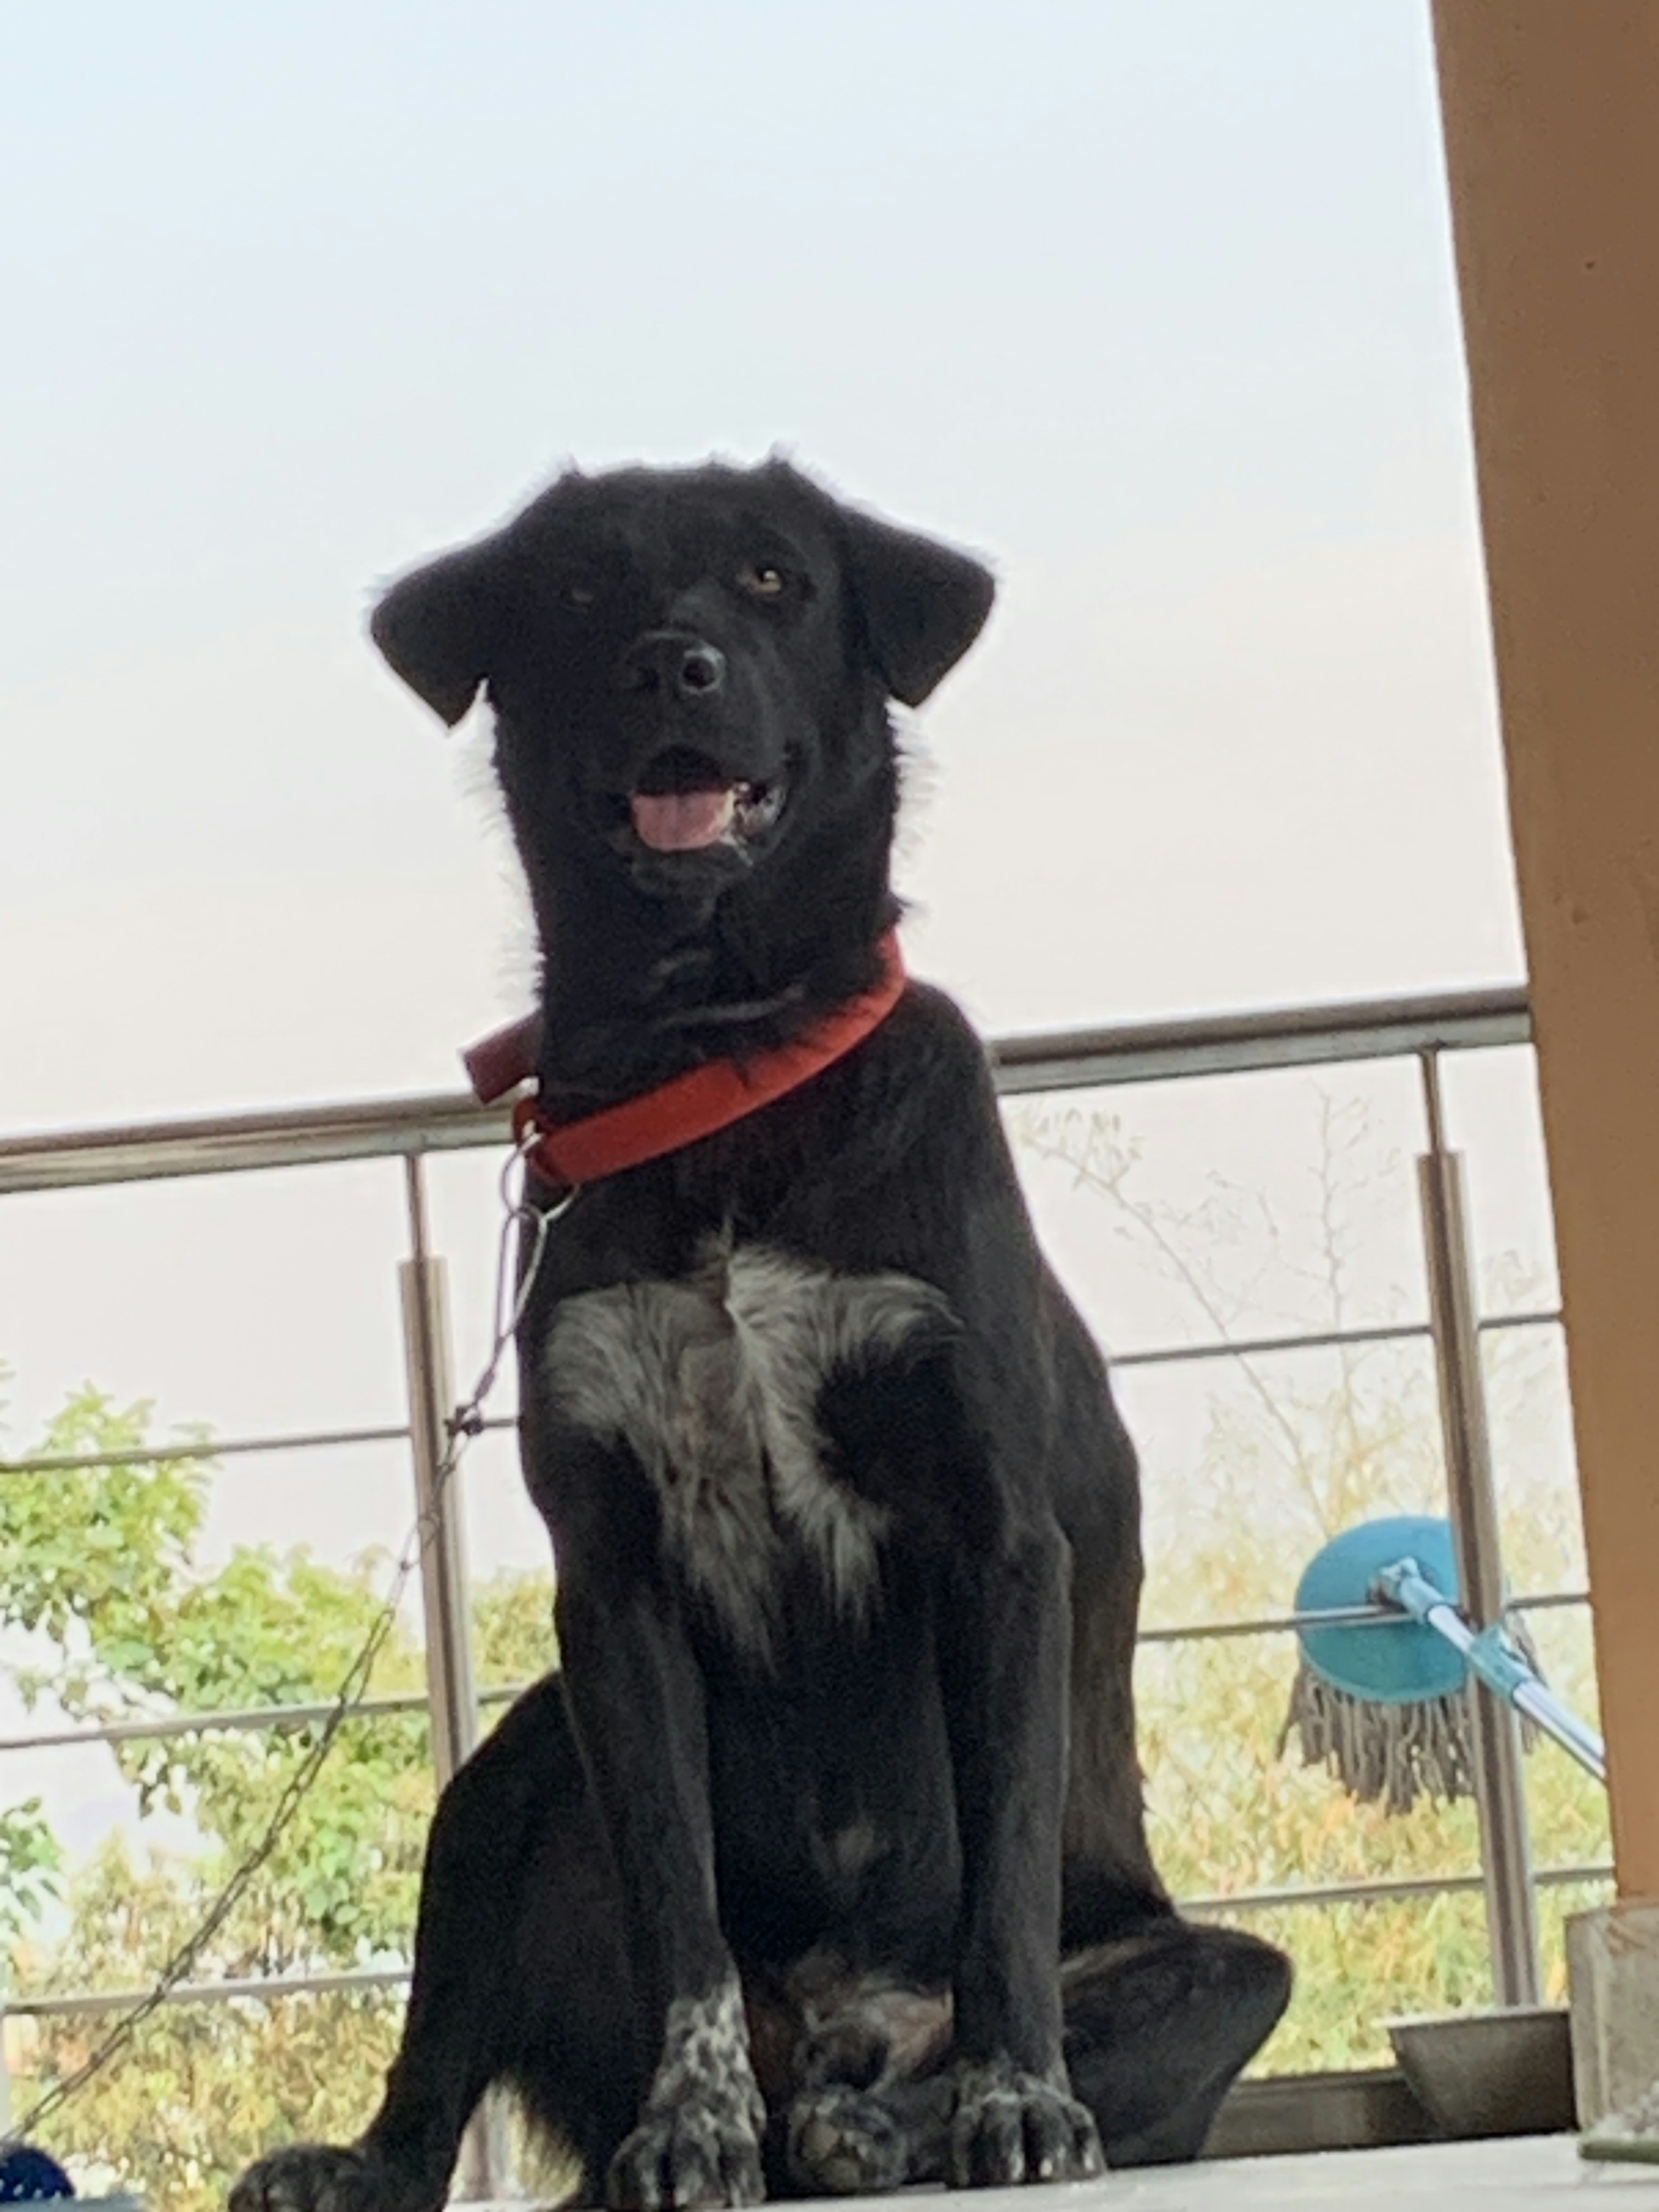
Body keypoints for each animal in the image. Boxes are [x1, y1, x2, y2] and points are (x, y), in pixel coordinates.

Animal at [229, 459, 1289, 2212]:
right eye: (579, 591)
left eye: (778, 579)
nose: (675, 665)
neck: (720, 1060)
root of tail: (842, 2035)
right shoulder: (613, 1583)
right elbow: (685, 1918)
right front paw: (689, 2124)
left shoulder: (995, 1537)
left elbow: (1006, 1885)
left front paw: (1019, 2103)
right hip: (508, 1773)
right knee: (447, 2058)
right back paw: (401, 2164)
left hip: (1223, 1969)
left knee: (1145, 1994)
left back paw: (888, 2124)